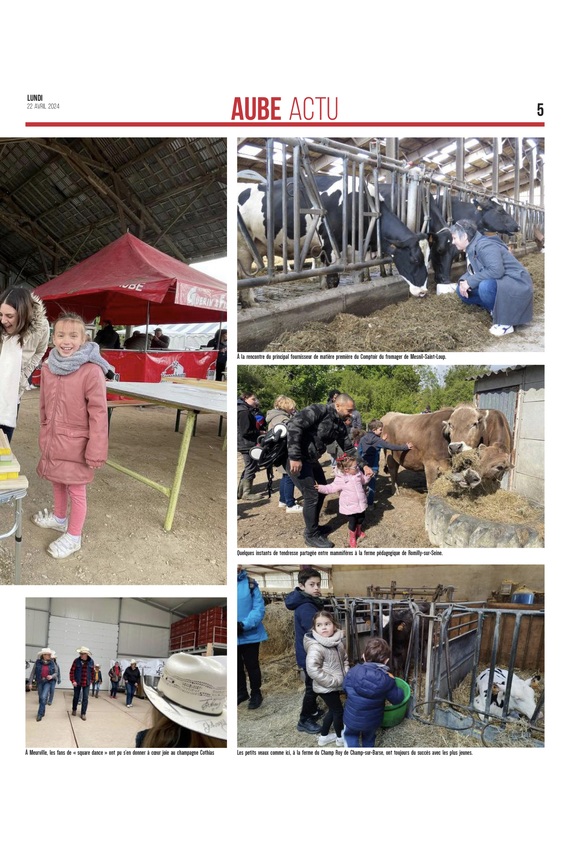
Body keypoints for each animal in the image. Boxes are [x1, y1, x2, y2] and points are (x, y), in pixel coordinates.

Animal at [235, 176, 426, 306]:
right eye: (415, 260)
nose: (423, 292)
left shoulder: (356, 250)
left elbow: (357, 277)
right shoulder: (329, 245)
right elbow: (333, 280)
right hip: (243, 245)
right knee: (244, 275)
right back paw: (249, 302)